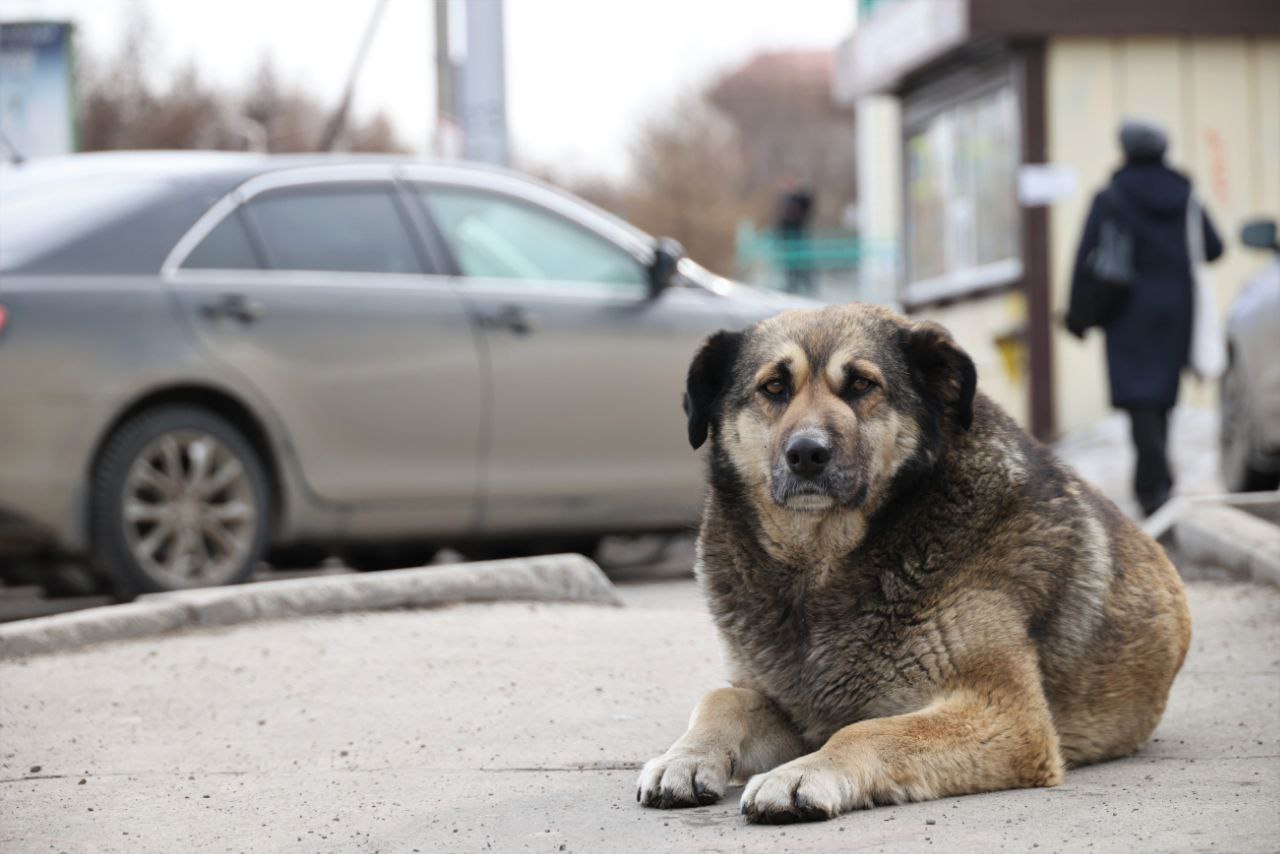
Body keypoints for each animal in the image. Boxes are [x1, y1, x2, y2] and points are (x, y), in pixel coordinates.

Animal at [637, 303, 1187, 824]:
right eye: (774, 387)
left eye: (861, 384)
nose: (807, 453)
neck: (822, 563)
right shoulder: (789, 705)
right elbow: (723, 698)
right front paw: (684, 758)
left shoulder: (1006, 717)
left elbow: (866, 731)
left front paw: (801, 775)